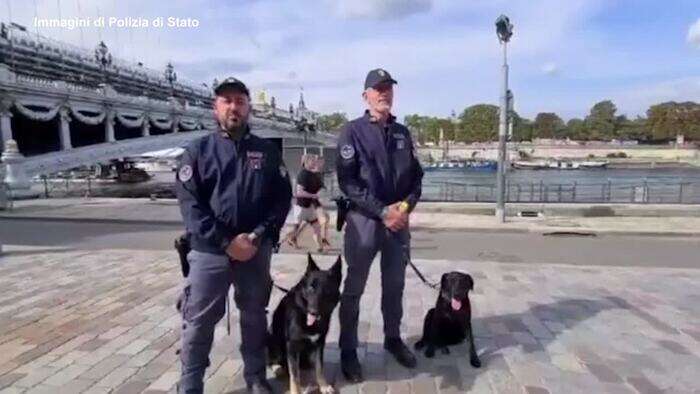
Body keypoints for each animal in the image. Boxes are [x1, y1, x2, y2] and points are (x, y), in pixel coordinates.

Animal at [268, 254, 342, 392]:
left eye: (327, 290)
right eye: (311, 287)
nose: (313, 311)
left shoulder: (319, 344)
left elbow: (319, 367)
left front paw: (323, 386)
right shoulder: (292, 346)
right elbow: (294, 375)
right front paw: (295, 391)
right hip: (272, 338)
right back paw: (277, 367)